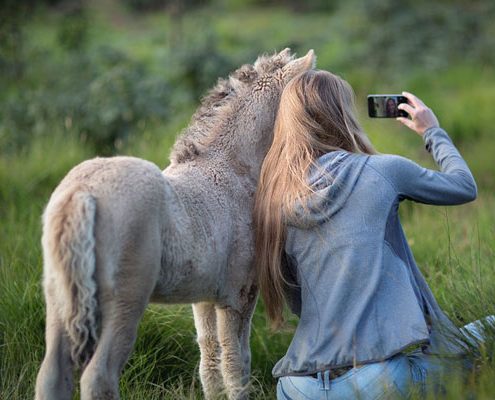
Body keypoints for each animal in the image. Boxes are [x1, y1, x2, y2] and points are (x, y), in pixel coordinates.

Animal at [35, 48, 316, 398]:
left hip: (59, 297)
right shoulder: (239, 296)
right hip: (124, 303)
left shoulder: (205, 297)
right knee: (98, 376)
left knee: (51, 373)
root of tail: (82, 192)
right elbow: (236, 362)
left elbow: (210, 358)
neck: (232, 168)